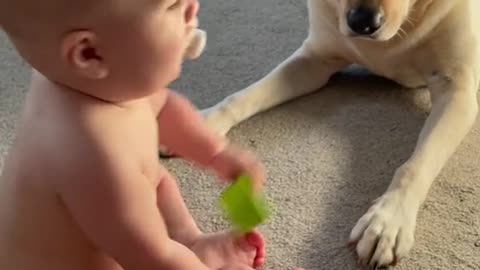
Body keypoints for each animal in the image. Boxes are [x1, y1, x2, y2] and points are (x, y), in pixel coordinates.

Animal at [202, 0, 480, 268]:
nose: (363, 22)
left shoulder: (457, 92)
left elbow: (415, 166)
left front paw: (389, 220)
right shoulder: (314, 61)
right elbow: (241, 97)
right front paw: (202, 125)